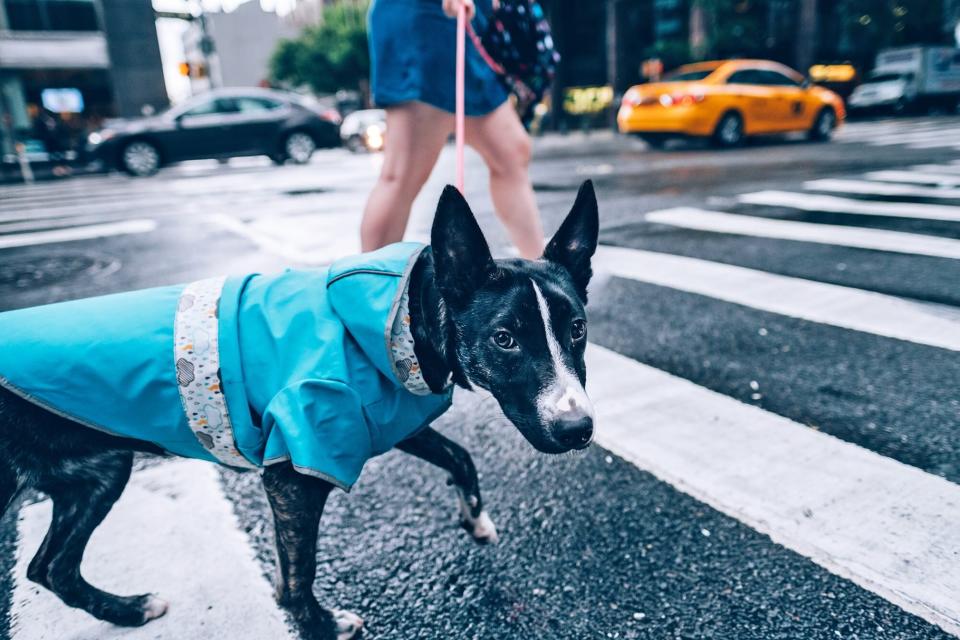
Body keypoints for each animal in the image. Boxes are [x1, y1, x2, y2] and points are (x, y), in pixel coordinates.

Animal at [0, 180, 600, 640]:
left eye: (577, 329)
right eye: (504, 338)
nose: (578, 429)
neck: (407, 313)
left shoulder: (382, 417)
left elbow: (459, 455)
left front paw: (474, 518)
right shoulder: (295, 471)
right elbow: (297, 575)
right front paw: (320, 626)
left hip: (98, 473)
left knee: (50, 567)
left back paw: (125, 610)